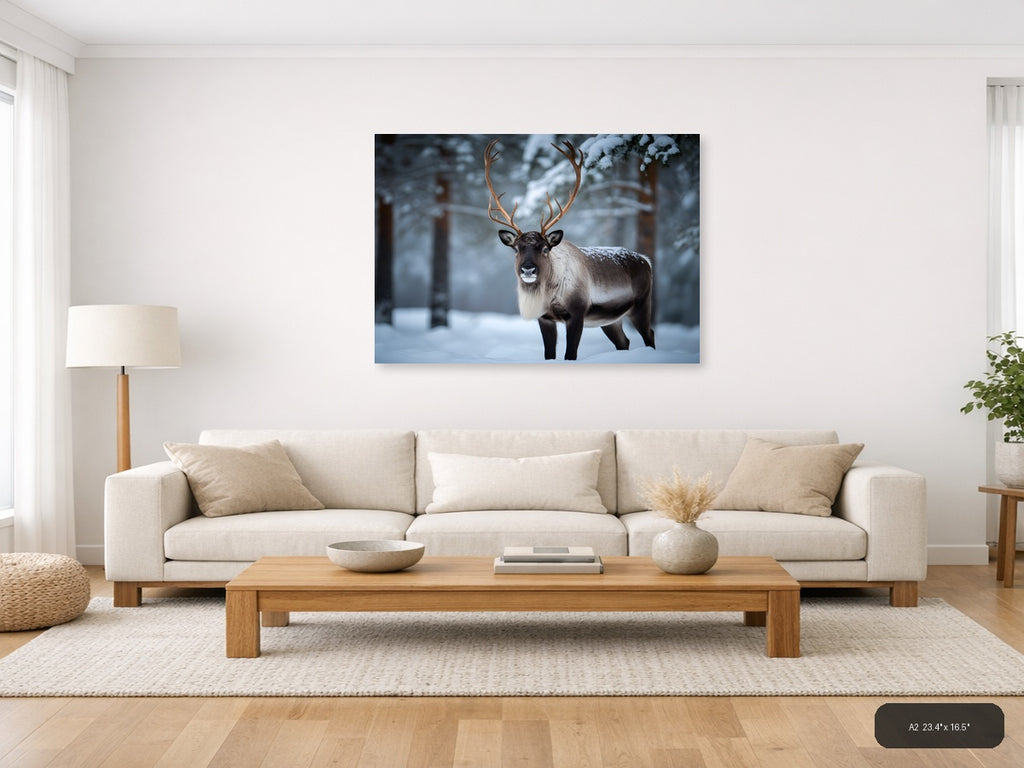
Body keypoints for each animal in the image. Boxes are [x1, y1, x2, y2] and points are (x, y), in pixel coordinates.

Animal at [484, 139, 656, 361]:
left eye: (545, 249)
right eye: (516, 249)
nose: (528, 269)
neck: (550, 296)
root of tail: (647, 261)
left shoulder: (577, 314)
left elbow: (570, 355)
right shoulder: (545, 318)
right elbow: (549, 354)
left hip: (641, 304)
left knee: (649, 334)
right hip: (611, 320)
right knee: (624, 342)